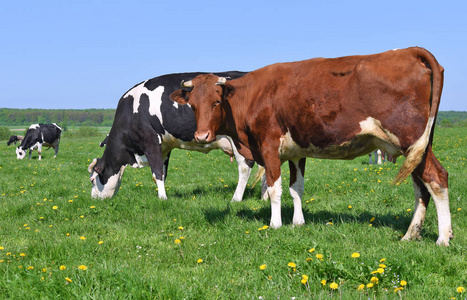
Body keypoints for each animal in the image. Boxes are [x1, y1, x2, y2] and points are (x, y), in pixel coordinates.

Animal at [88, 70, 256, 202]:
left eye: (92, 180)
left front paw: (162, 198)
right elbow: (162, 173)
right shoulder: (164, 147)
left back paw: (236, 199)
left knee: (245, 166)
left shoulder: (150, 141)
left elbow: (157, 172)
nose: (93, 199)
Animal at [173, 45, 454, 245]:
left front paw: (275, 224)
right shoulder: (297, 152)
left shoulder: (268, 146)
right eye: (193, 105)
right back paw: (411, 234)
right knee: (421, 187)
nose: (201, 136)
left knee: (436, 177)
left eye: (216, 102)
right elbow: (296, 188)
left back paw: (442, 238)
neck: (253, 95)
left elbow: (274, 189)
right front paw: (298, 222)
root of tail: (410, 50)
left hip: (409, 139)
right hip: (417, 148)